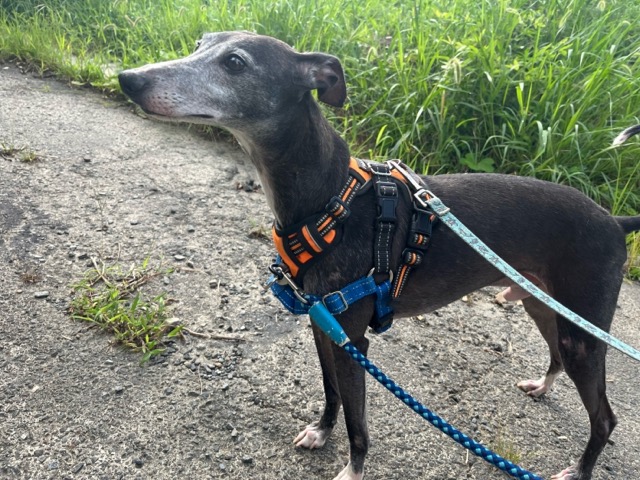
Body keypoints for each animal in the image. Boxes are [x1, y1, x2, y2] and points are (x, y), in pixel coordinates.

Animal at [118, 31, 640, 480]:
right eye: (199, 44)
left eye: (234, 63)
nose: (128, 78)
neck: (332, 201)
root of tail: (617, 222)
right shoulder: (323, 327)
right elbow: (331, 394)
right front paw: (321, 431)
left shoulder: (353, 340)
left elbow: (358, 424)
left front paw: (352, 468)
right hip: (544, 307)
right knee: (556, 356)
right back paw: (543, 386)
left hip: (583, 332)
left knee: (605, 418)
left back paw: (579, 469)